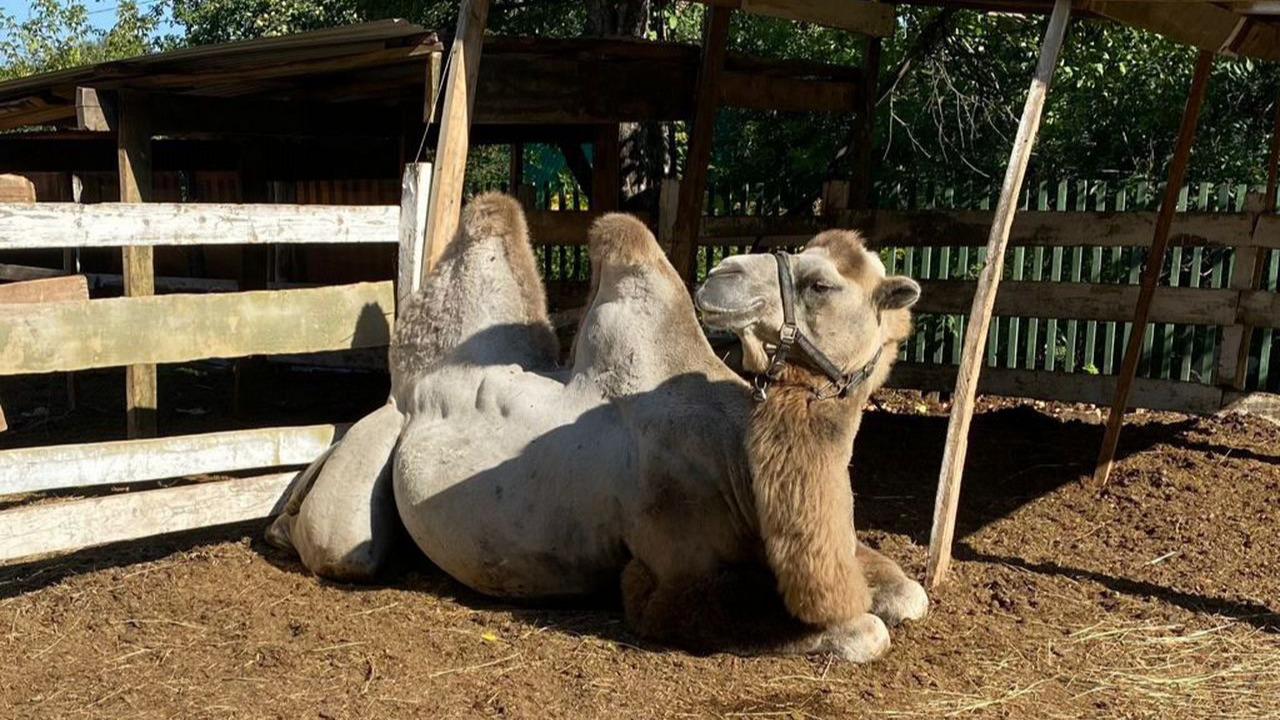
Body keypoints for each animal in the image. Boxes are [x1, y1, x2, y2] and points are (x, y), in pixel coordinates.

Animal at [270, 192, 926, 661]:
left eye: (822, 284)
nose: (723, 273)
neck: (737, 462)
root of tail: (397, 396)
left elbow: (910, 594)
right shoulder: (672, 577)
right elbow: (865, 631)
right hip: (366, 468)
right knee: (343, 549)